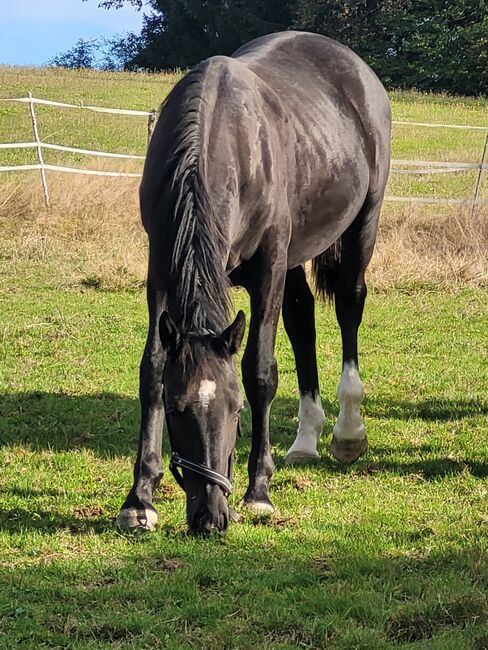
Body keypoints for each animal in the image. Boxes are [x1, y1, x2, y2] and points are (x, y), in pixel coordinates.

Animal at [116, 30, 390, 536]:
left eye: (236, 410)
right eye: (177, 409)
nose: (210, 518)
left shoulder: (268, 268)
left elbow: (260, 371)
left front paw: (259, 492)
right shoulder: (160, 267)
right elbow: (153, 367)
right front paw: (139, 499)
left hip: (363, 223)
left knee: (349, 306)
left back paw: (347, 432)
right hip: (296, 257)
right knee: (302, 320)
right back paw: (306, 438)